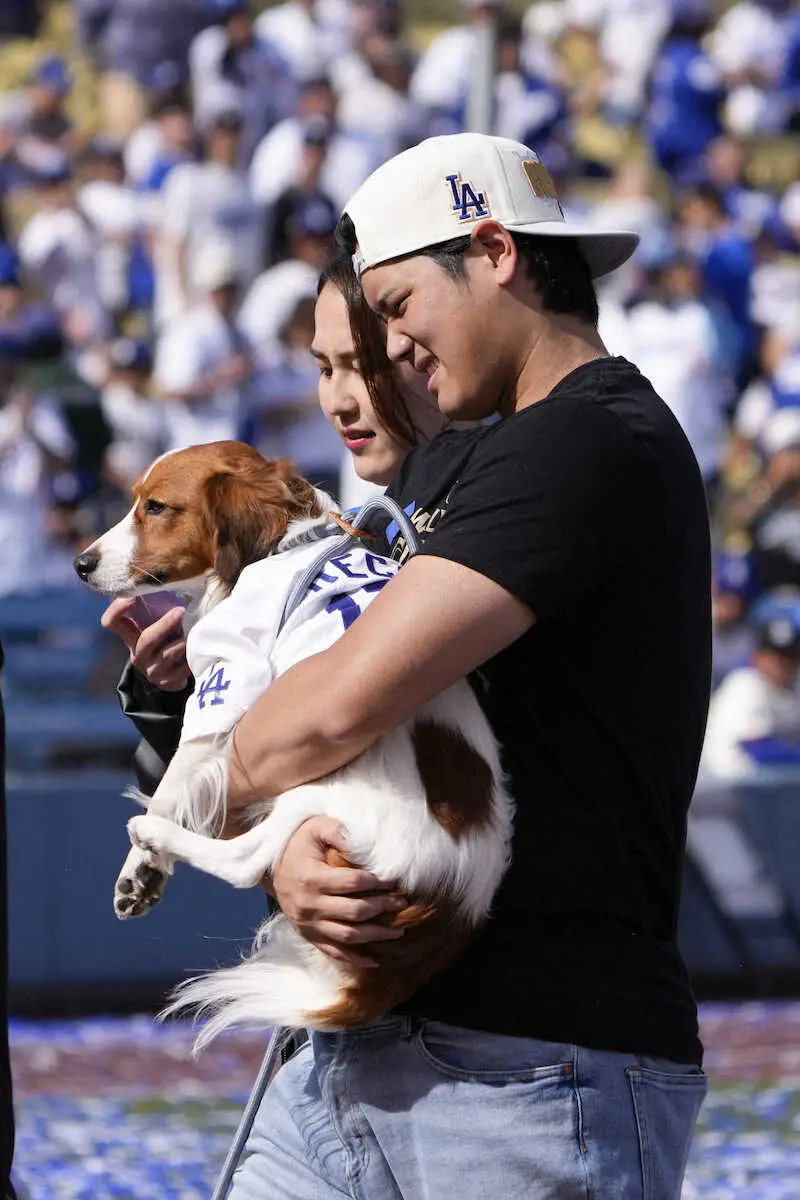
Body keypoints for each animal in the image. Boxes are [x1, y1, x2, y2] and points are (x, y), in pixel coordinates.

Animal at [74, 446, 513, 1046]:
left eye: (156, 507)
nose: (81, 563)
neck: (279, 544)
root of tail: (453, 907)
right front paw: (144, 874)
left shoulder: (226, 681)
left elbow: (171, 788)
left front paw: (141, 863)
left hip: (323, 791)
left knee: (244, 859)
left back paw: (155, 834)